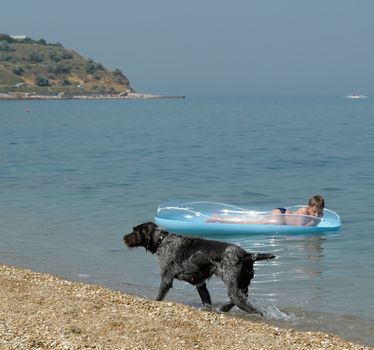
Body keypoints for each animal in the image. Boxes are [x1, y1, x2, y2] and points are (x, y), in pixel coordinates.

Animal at [123, 221, 274, 314]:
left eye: (135, 231)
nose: (123, 237)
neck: (162, 240)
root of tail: (247, 255)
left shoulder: (166, 279)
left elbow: (159, 297)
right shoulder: (200, 283)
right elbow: (206, 301)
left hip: (234, 289)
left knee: (249, 307)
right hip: (242, 285)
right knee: (239, 299)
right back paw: (224, 307)